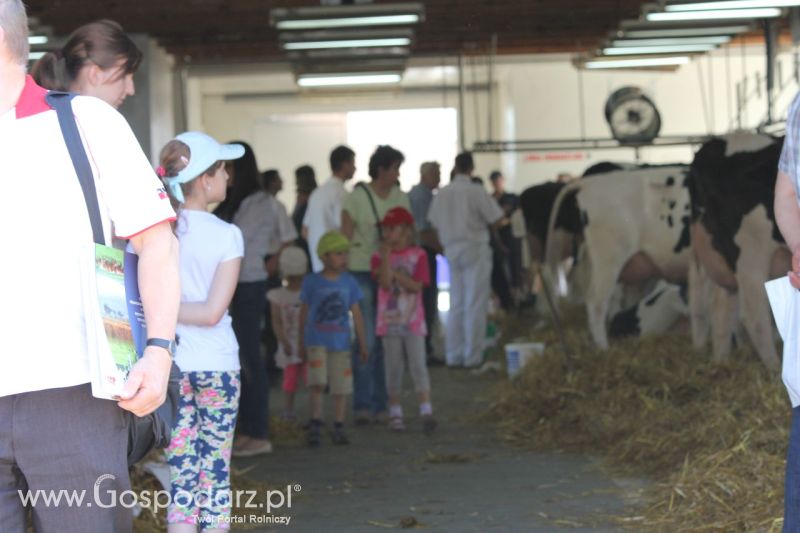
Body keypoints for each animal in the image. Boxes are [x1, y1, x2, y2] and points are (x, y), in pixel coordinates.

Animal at [688, 132, 788, 370]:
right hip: (750, 255)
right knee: (754, 316)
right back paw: (773, 369)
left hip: (713, 257)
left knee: (715, 310)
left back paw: (721, 362)